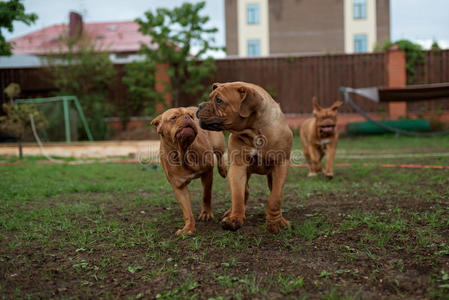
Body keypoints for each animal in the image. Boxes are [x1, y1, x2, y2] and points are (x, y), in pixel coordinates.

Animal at [151, 106, 228, 236]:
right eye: (174, 117)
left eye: (190, 116)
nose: (188, 117)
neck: (184, 151)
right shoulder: (179, 187)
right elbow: (187, 210)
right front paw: (188, 228)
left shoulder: (207, 173)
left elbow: (206, 195)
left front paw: (206, 213)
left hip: (218, 142)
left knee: (220, 154)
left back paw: (223, 170)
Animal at [195, 82, 290, 234]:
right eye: (210, 98)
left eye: (219, 100)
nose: (199, 106)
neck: (254, 131)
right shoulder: (238, 167)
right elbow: (238, 195)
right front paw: (235, 218)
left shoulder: (281, 165)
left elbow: (275, 198)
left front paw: (274, 222)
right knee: (245, 191)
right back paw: (231, 212)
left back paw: (281, 220)